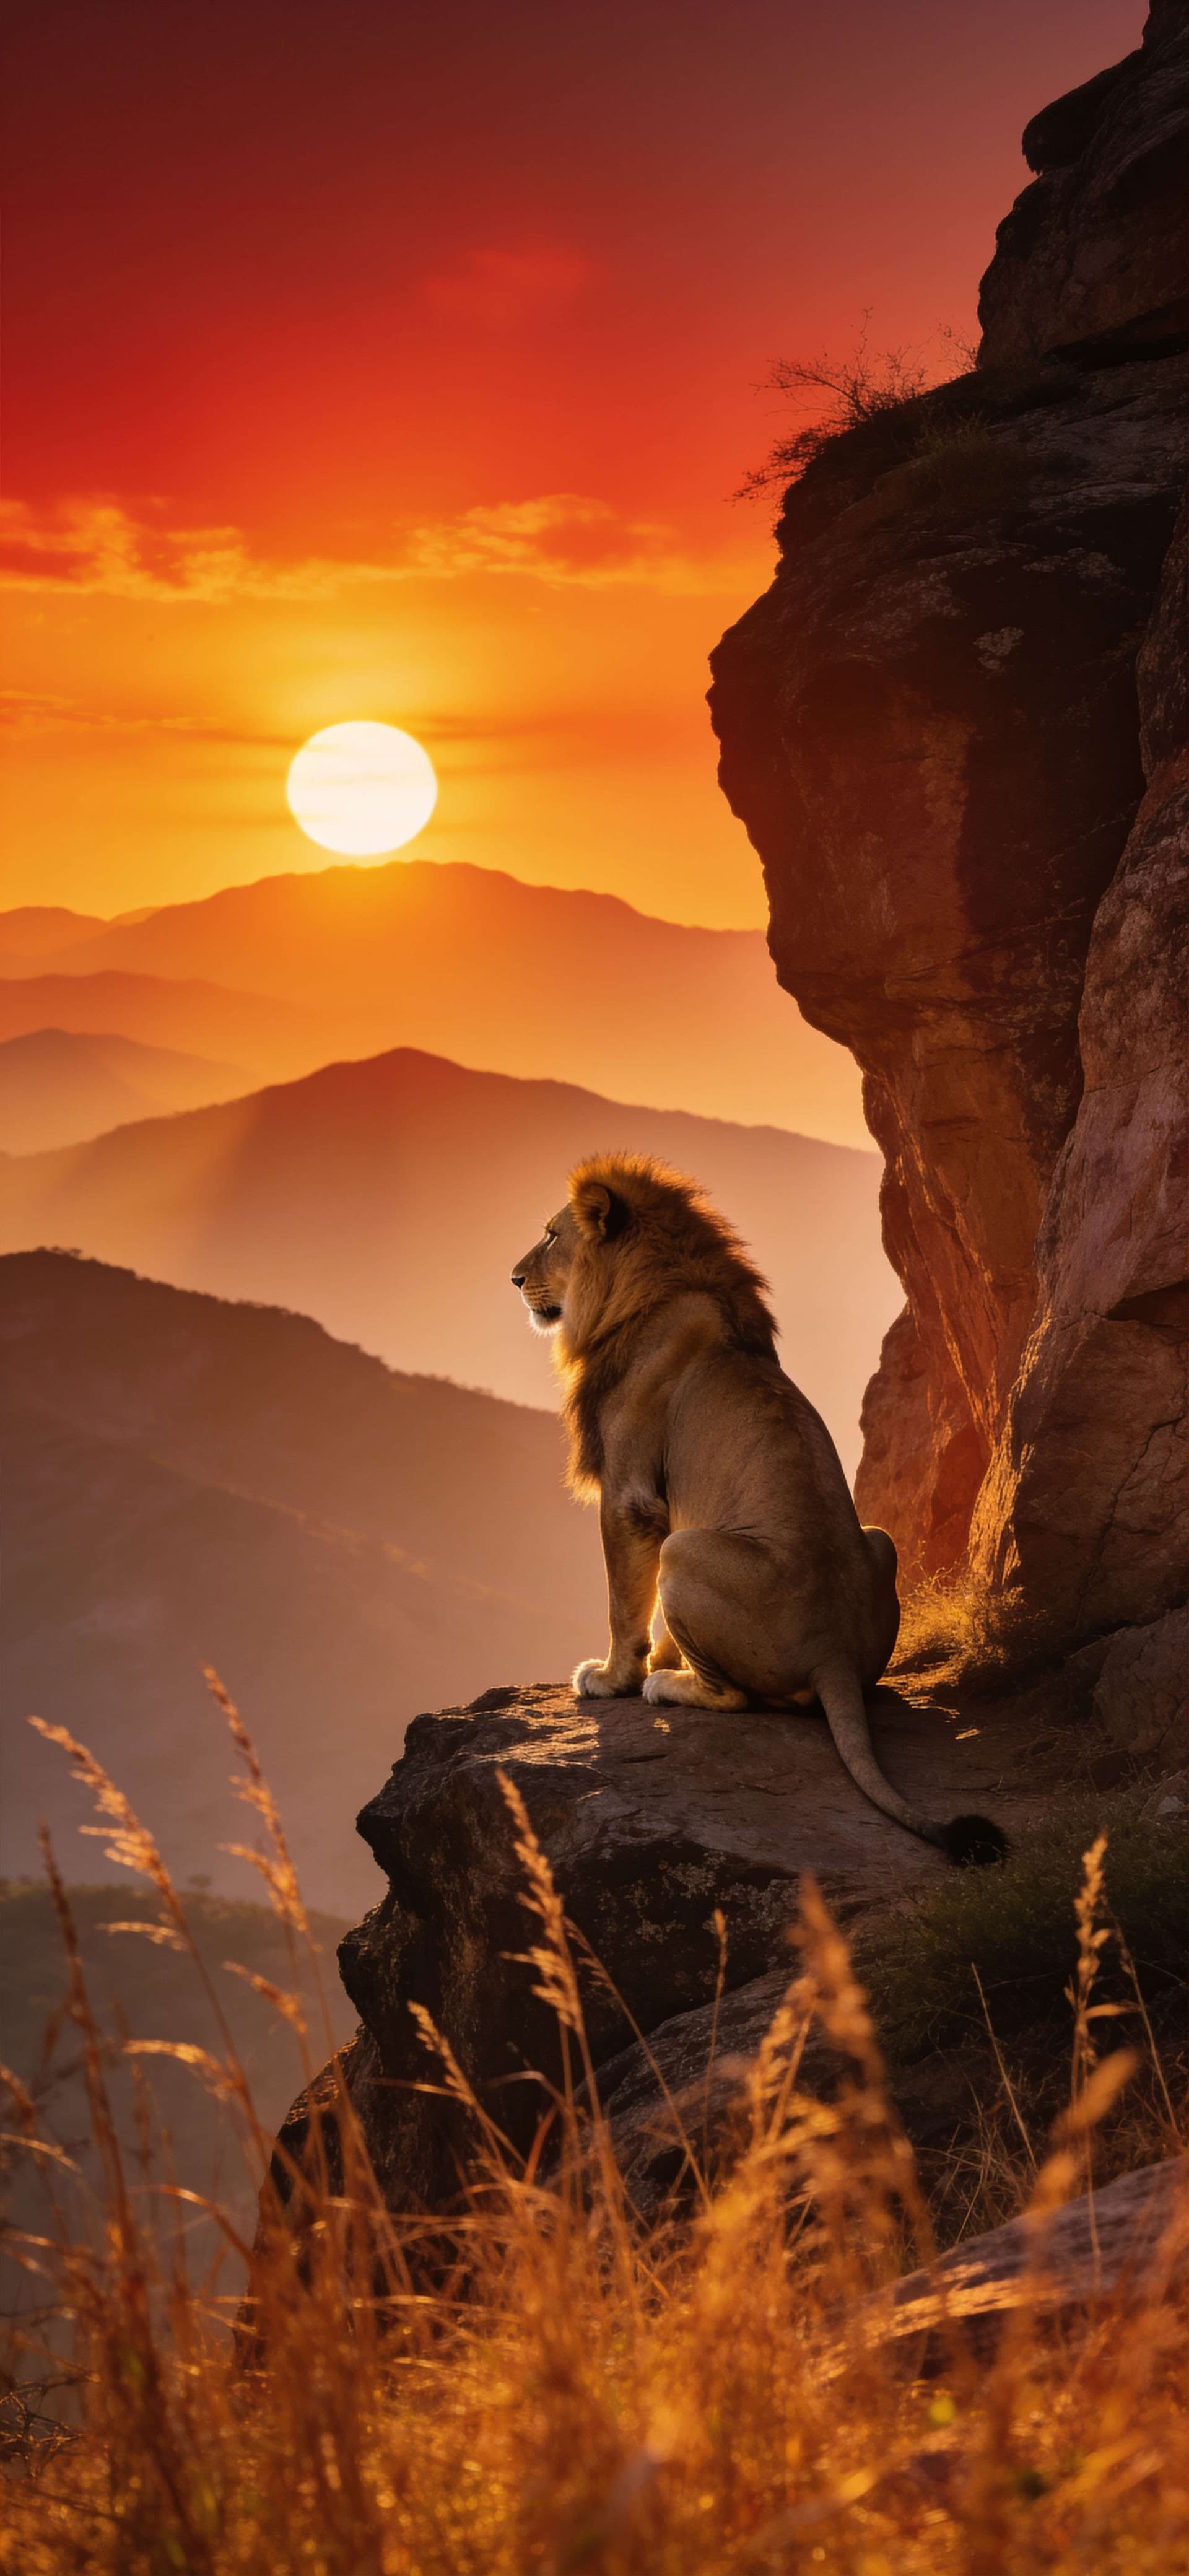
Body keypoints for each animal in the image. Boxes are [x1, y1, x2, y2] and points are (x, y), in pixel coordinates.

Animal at [511, 1153, 1005, 1864]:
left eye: (552, 1234)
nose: (514, 1277)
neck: (655, 1286)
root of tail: (833, 1651)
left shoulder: (629, 1494)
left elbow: (622, 1605)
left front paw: (614, 1677)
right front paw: (659, 1658)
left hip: (684, 1551)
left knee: (739, 1697)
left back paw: (669, 1686)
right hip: (880, 1539)